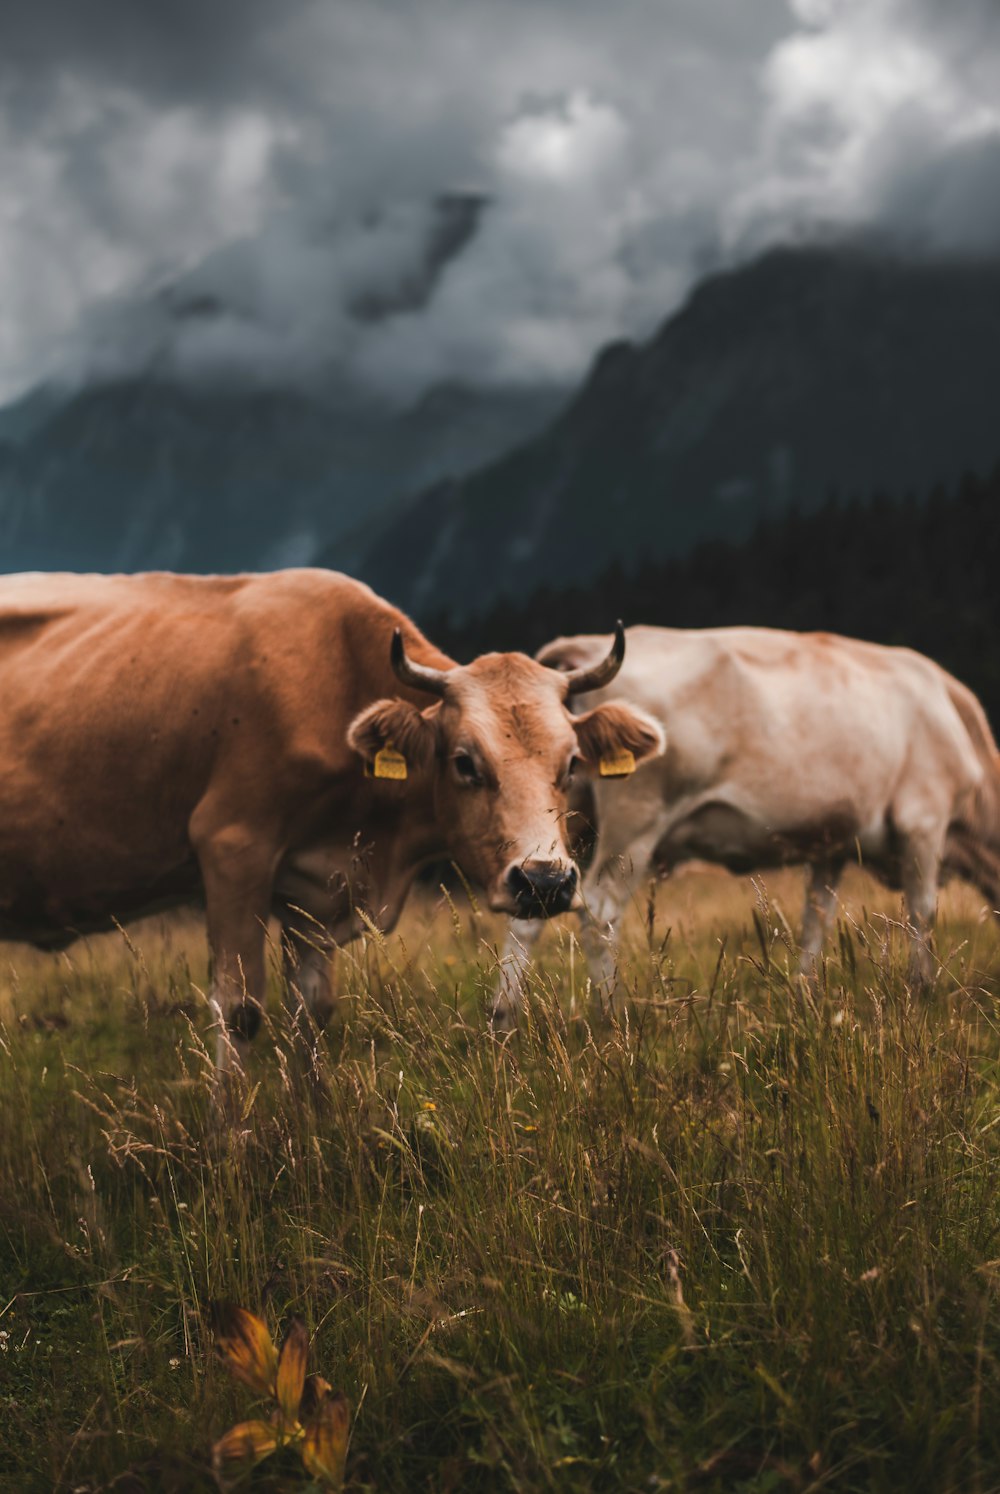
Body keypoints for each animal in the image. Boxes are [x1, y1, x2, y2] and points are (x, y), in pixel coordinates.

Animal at [0, 564, 663, 1069]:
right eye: (464, 761)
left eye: (571, 761)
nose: (545, 881)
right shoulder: (232, 849)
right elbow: (238, 1012)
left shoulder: (315, 890)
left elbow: (312, 1017)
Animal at [490, 621, 998, 1027]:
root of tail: (585, 646)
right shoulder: (923, 821)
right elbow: (923, 911)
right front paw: (922, 990)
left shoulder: (830, 843)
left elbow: (816, 918)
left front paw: (804, 995)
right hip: (634, 822)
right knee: (598, 911)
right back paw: (614, 1016)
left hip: (562, 824)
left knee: (532, 906)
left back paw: (504, 1019)